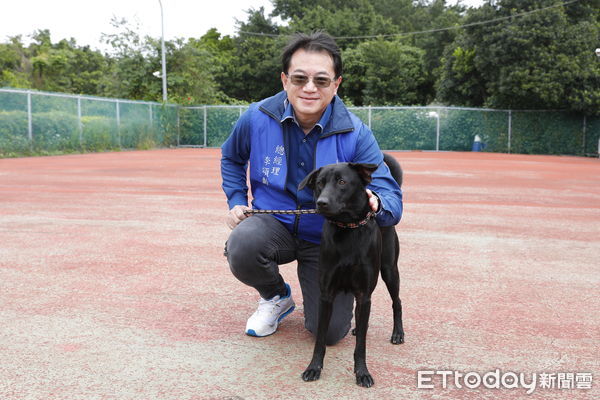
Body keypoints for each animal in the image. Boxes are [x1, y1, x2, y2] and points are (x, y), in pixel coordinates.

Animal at [298, 153, 406, 388]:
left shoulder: (365, 293)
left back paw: (398, 333)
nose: (321, 203)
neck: (347, 229)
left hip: (389, 270)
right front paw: (313, 367)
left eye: (342, 182)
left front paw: (362, 372)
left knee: (397, 302)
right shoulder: (326, 294)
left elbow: (361, 346)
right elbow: (321, 337)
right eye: (319, 183)